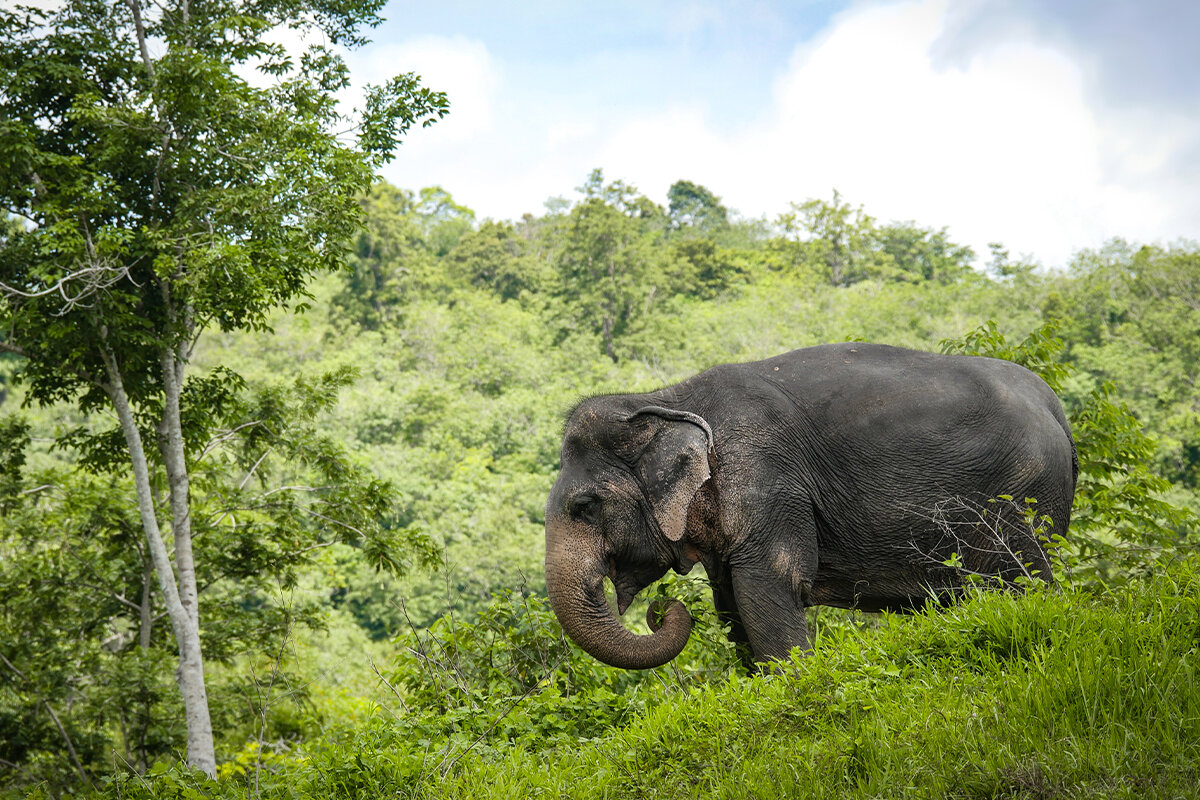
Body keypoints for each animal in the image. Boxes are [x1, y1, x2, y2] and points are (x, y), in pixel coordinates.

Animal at [544, 343, 1080, 671]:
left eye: (584, 506)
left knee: (1022, 581)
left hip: (1022, 495)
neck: (666, 398)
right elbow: (730, 603)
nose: (661, 611)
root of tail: (1056, 407)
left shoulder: (769, 481)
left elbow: (767, 588)